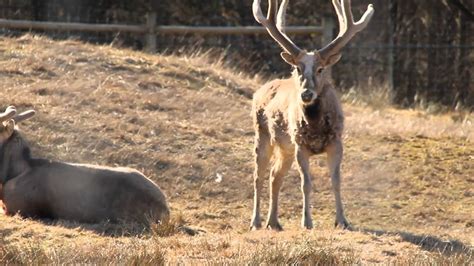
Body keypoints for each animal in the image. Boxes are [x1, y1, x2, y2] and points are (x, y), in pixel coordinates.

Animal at [250, 0, 376, 230]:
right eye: (298, 69)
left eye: (320, 69)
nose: (306, 93)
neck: (316, 126)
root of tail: (259, 91)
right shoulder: (301, 145)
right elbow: (306, 183)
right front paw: (307, 222)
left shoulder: (336, 141)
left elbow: (336, 180)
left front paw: (342, 221)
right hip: (262, 134)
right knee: (259, 175)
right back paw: (256, 221)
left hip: (285, 148)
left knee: (275, 176)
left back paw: (274, 222)